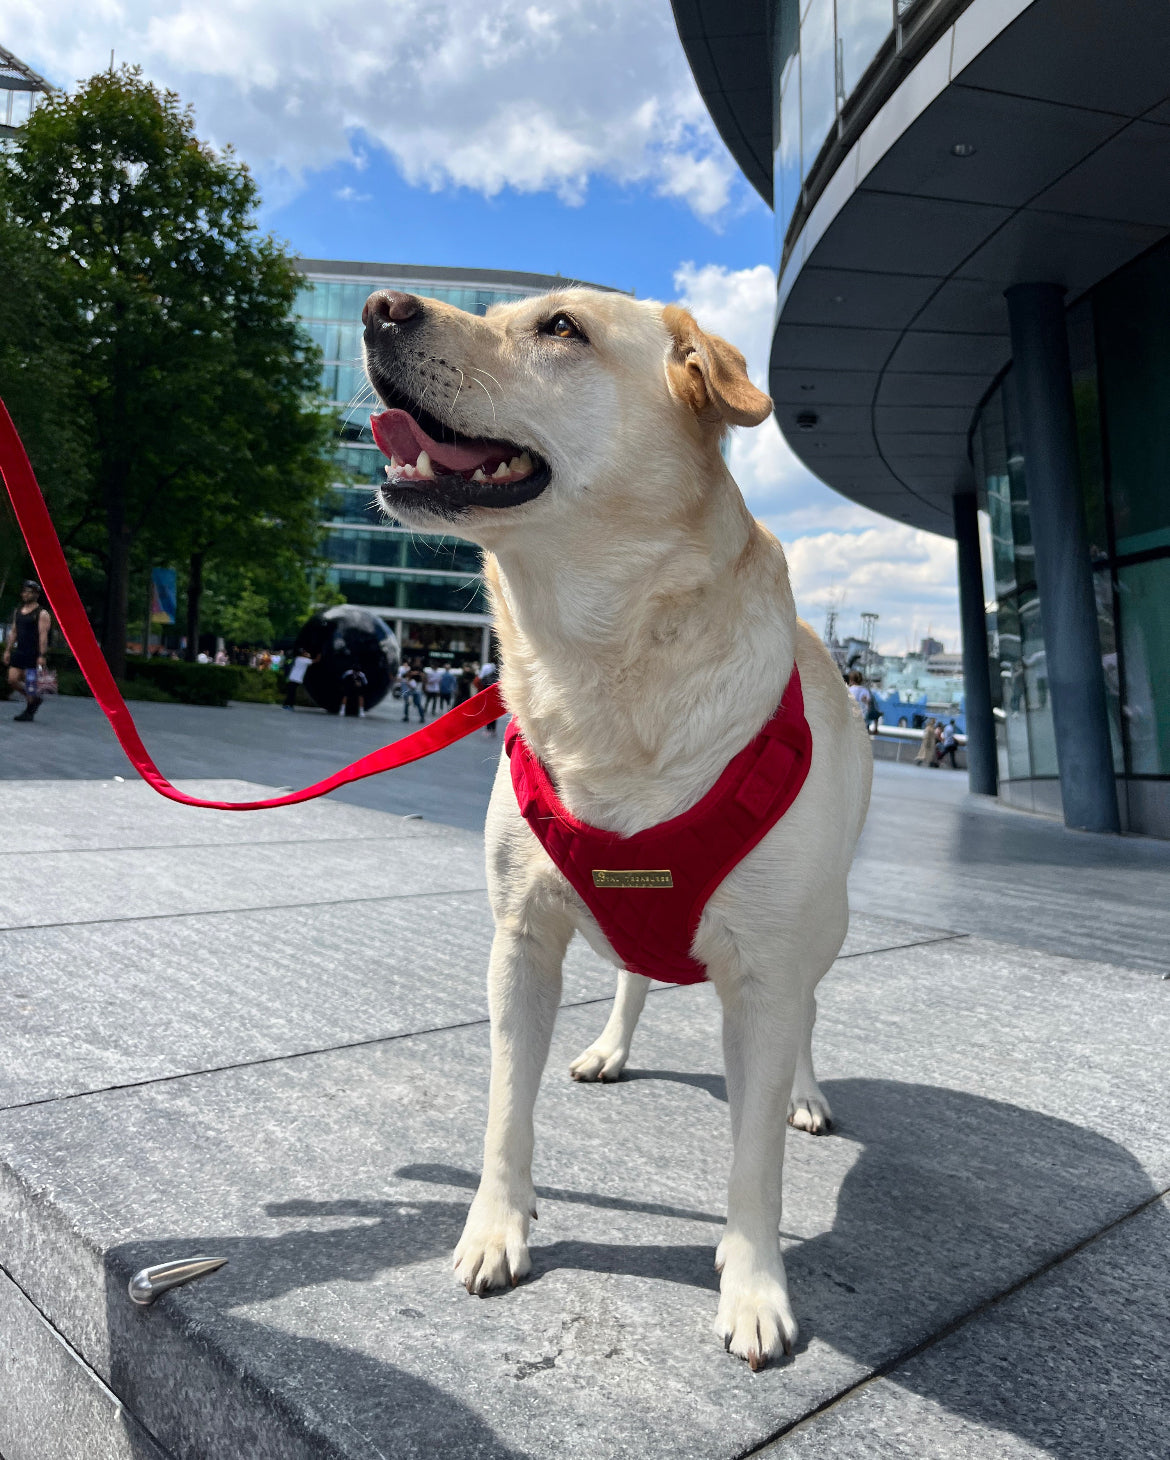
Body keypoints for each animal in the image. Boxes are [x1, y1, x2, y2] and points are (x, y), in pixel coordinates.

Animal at [362, 287, 864, 1366]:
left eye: (560, 328)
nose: (381, 305)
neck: (593, 662)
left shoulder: (766, 971)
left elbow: (754, 1160)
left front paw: (755, 1287)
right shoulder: (520, 941)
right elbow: (506, 1109)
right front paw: (494, 1228)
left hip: (824, 923)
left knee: (806, 1017)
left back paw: (805, 1093)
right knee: (635, 971)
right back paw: (610, 1047)